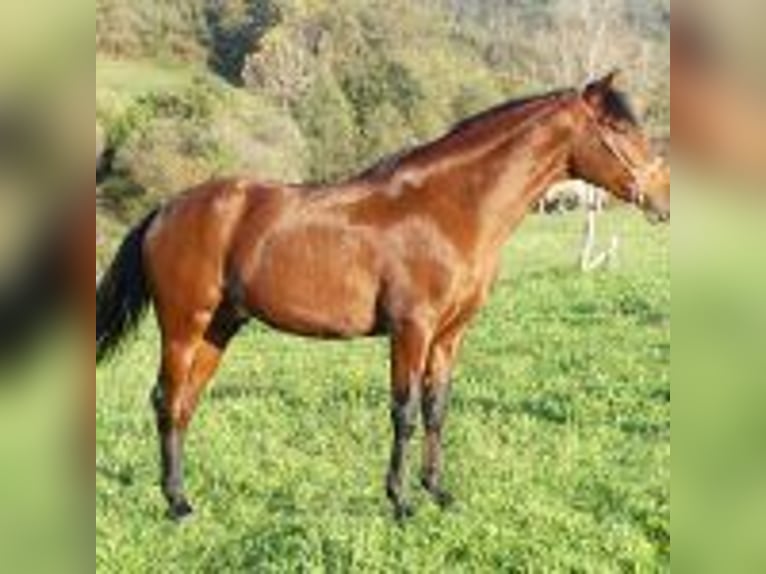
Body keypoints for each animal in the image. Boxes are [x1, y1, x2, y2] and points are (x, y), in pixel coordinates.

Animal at [96, 72, 670, 522]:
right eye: (620, 129)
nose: (663, 198)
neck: (449, 207)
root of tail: (165, 210)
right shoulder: (410, 330)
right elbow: (405, 412)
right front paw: (400, 502)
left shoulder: (449, 334)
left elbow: (438, 408)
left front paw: (438, 491)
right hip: (183, 327)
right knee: (166, 399)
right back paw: (175, 505)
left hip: (219, 328)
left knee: (185, 404)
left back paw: (183, 497)